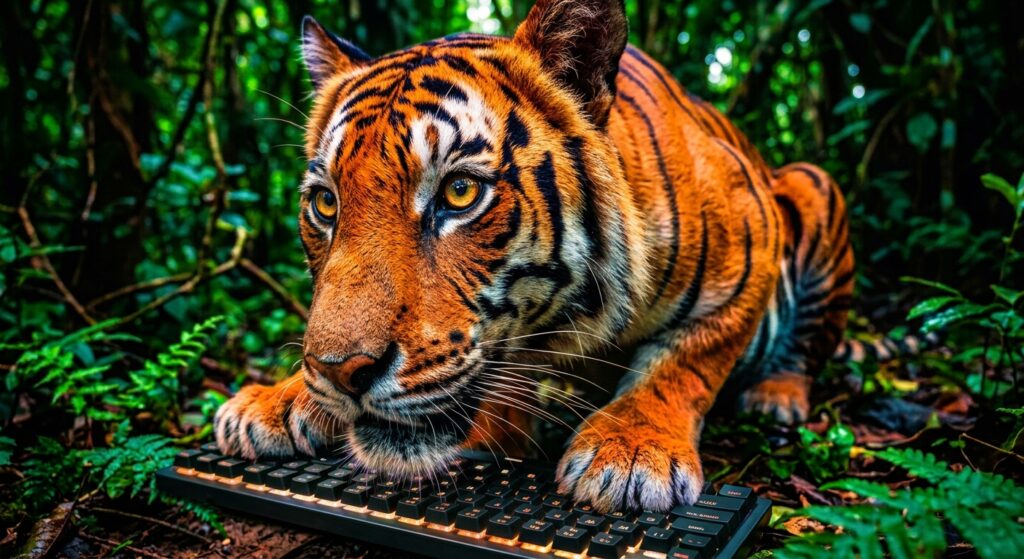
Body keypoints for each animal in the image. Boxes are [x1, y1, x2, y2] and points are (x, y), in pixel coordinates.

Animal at [214, 0, 855, 512]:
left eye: (459, 192)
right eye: (326, 203)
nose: (341, 373)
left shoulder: (750, 245)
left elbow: (685, 363)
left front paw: (630, 453)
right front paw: (280, 398)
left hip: (814, 184)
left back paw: (777, 396)